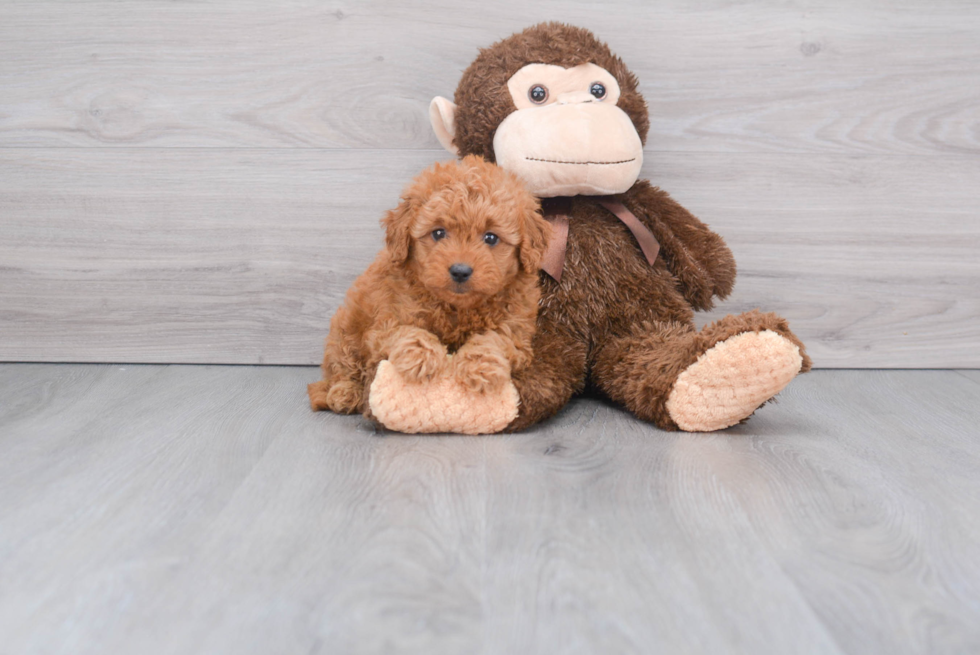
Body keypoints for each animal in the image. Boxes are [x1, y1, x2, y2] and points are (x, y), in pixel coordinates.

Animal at [308, 156, 552, 418]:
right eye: (438, 233)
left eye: (491, 238)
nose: (460, 270)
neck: (458, 309)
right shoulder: (384, 324)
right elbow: (409, 332)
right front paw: (421, 356)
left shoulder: (516, 331)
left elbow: (495, 339)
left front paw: (480, 366)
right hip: (345, 329)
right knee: (342, 366)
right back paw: (344, 393)